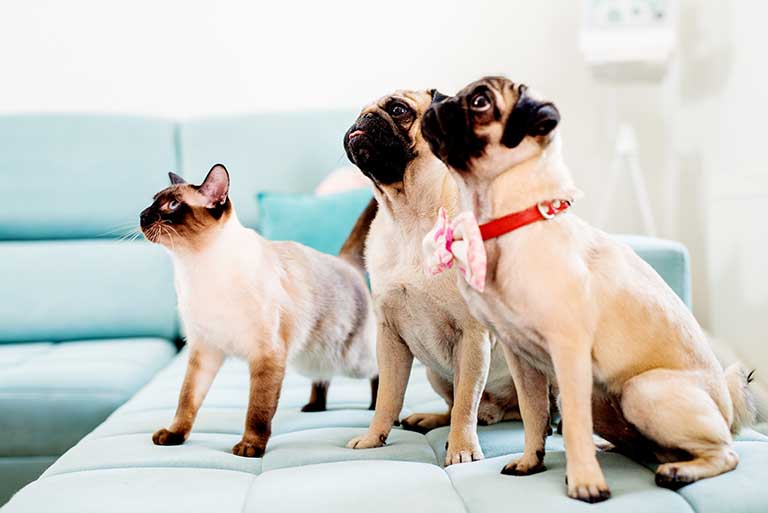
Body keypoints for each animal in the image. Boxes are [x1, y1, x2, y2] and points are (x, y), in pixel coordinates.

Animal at [140, 164, 378, 456]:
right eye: (153, 201)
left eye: (172, 205)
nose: (142, 215)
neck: (195, 266)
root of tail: (343, 262)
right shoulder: (204, 351)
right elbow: (187, 400)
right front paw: (174, 435)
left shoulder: (266, 356)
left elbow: (258, 410)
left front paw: (250, 447)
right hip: (310, 358)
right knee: (322, 377)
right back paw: (314, 407)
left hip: (351, 358)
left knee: (380, 371)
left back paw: (376, 408)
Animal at [344, 88, 520, 464]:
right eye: (359, 111)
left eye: (398, 110)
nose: (363, 118)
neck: (409, 215)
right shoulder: (389, 338)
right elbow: (387, 398)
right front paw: (373, 438)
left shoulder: (472, 337)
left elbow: (466, 403)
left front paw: (462, 449)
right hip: (435, 373)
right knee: (455, 405)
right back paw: (431, 418)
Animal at [420, 77, 752, 500]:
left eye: (479, 101)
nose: (437, 96)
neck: (511, 220)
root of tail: (726, 409)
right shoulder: (522, 359)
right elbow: (533, 414)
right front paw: (531, 461)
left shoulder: (569, 355)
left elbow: (574, 427)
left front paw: (585, 483)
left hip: (642, 391)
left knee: (726, 452)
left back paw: (679, 471)